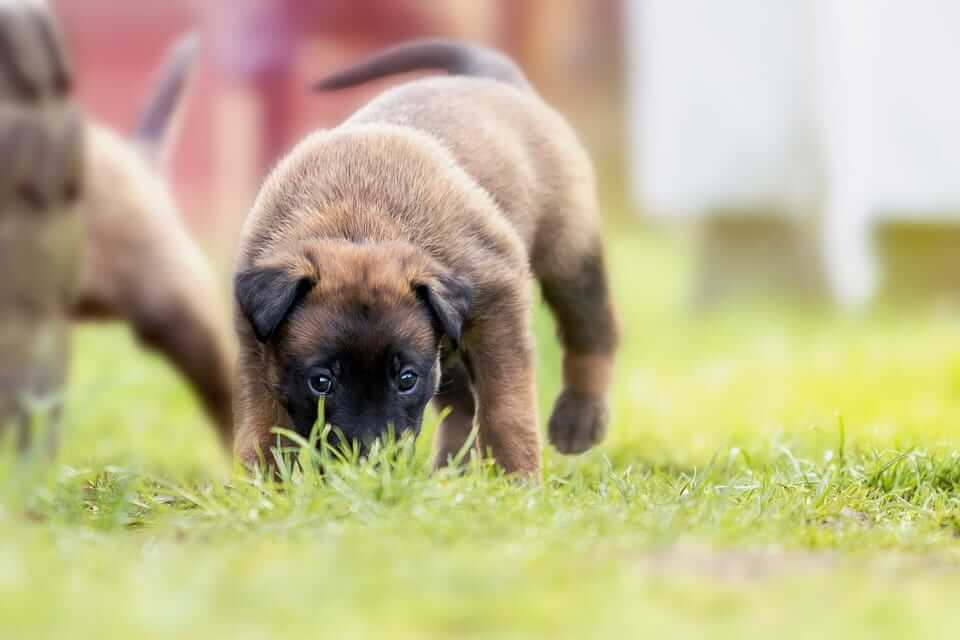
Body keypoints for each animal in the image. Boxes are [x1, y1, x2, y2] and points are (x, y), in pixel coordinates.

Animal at [236, 37, 620, 472]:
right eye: (322, 382)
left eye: (407, 379)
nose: (368, 465)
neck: (358, 223)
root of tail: (495, 81)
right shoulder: (257, 350)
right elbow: (265, 430)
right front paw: (269, 483)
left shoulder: (498, 311)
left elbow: (507, 411)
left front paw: (516, 479)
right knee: (462, 404)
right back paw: (449, 472)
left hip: (569, 256)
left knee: (592, 332)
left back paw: (580, 418)